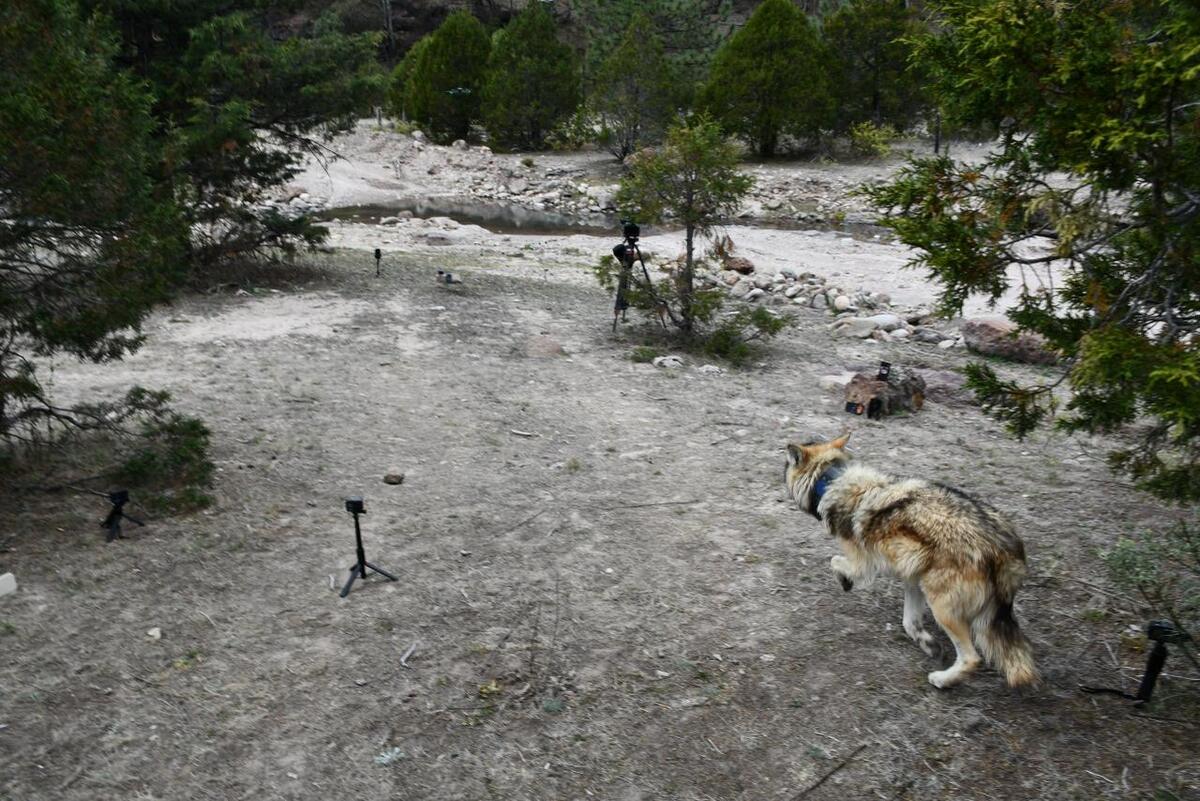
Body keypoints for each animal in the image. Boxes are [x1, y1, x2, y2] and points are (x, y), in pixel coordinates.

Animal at [783, 433, 1038, 689]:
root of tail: (1001, 548)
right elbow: (909, 622)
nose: (783, 461)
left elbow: (834, 561)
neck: (832, 480)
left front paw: (845, 581)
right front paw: (929, 644)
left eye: (788, 463)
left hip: (942, 608)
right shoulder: (912, 581)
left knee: (972, 658)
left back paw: (942, 680)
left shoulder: (863, 566)